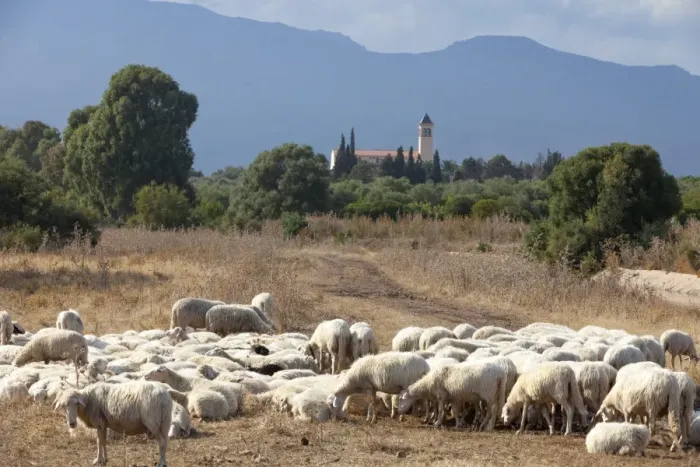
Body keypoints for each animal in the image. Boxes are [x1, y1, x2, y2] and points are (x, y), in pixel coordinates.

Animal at [54, 381, 186, 467]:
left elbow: (99, 442)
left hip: (153, 421)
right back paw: (163, 461)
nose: (72, 423)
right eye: (63, 406)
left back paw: (162, 463)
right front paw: (105, 459)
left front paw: (98, 460)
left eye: (76, 404)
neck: (88, 400)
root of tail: (165, 390)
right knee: (165, 443)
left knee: (162, 443)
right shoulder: (104, 424)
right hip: (165, 422)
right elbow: (103, 442)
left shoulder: (99, 423)